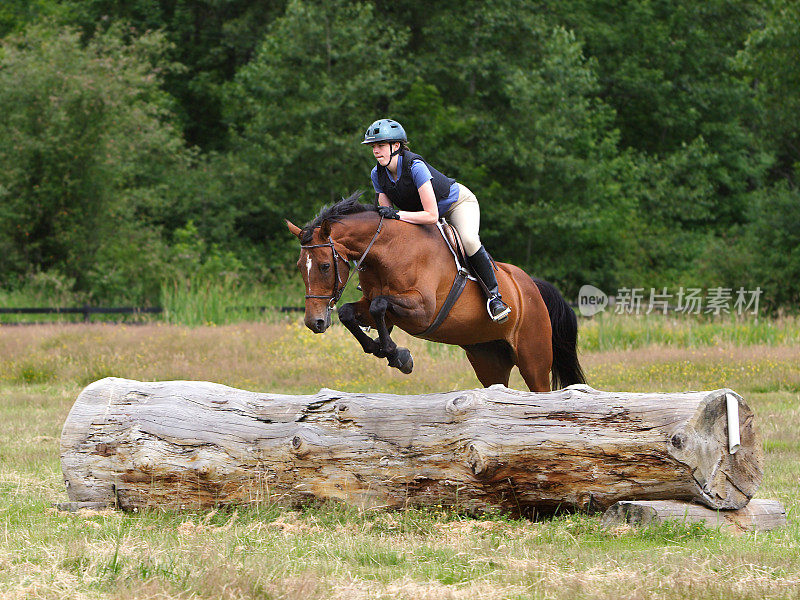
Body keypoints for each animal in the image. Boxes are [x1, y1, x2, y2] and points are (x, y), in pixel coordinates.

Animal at [284, 193, 584, 394]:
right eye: (299, 266)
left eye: (324, 266)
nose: (314, 322)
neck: (388, 249)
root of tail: (532, 286)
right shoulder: (377, 307)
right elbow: (351, 312)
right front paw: (384, 350)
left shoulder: (423, 310)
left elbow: (379, 305)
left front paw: (398, 355)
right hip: (488, 358)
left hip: (534, 357)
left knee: (540, 388)